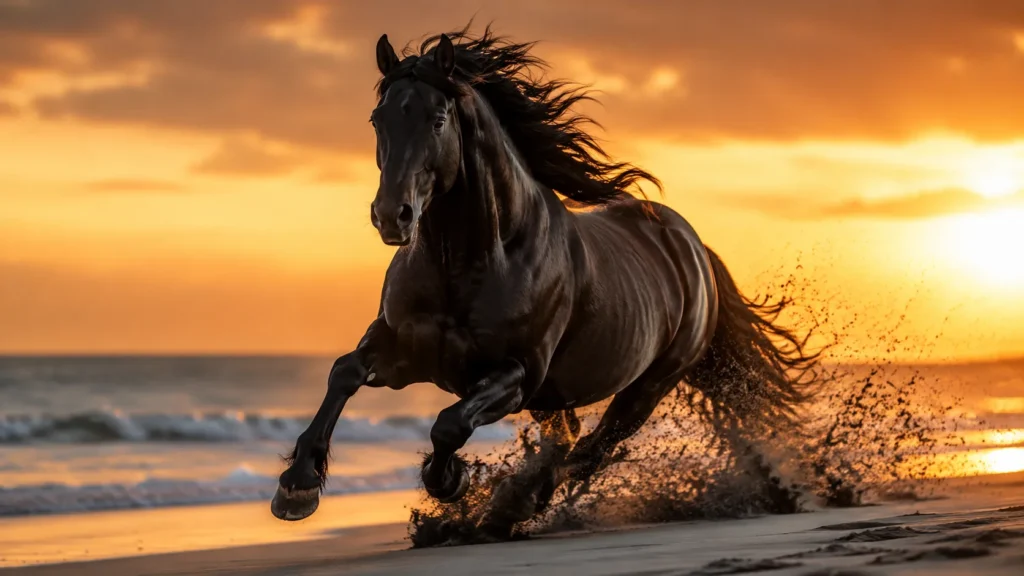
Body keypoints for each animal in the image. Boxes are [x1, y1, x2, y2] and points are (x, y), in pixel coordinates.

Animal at [271, 28, 819, 539]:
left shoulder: (517, 374)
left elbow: (450, 424)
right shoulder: (401, 348)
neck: (470, 262)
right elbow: (343, 373)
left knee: (592, 448)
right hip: (560, 395)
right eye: (377, 119)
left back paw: (509, 507)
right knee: (571, 438)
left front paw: (450, 481)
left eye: (438, 119)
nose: (392, 216)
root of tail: (693, 248)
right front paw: (296, 488)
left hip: (649, 385)